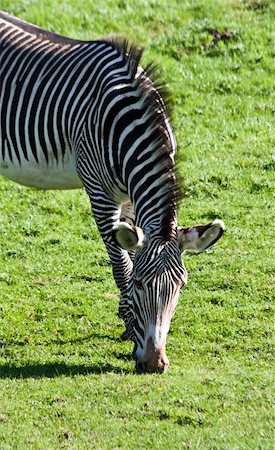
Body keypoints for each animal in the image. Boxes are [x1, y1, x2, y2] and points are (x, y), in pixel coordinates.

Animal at [0, 12, 225, 374]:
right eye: (140, 285)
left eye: (181, 286)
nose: (154, 364)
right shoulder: (100, 193)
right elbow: (121, 263)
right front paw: (130, 326)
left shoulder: (132, 199)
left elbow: (130, 253)